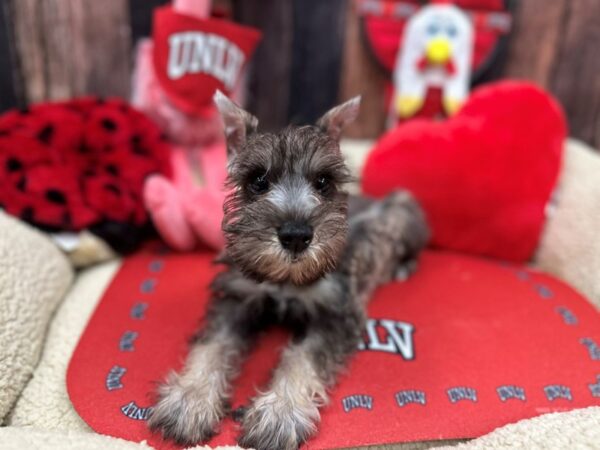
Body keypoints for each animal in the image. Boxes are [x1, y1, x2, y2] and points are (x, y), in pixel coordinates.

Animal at [148, 92, 428, 450]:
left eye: (323, 181)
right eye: (258, 181)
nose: (296, 236)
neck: (285, 280)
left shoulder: (335, 314)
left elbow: (302, 358)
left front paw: (279, 412)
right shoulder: (237, 299)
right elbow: (212, 345)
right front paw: (189, 398)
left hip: (404, 209)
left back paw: (402, 267)